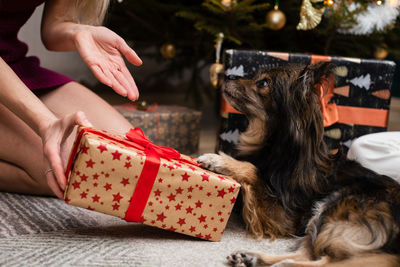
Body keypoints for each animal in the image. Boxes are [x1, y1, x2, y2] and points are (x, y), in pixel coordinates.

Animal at [198, 62, 400, 266]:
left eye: (263, 83)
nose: (228, 75)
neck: (277, 148)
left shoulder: (284, 217)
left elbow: (251, 168)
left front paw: (217, 159)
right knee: (309, 254)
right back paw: (251, 257)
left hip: (333, 207)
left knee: (328, 261)